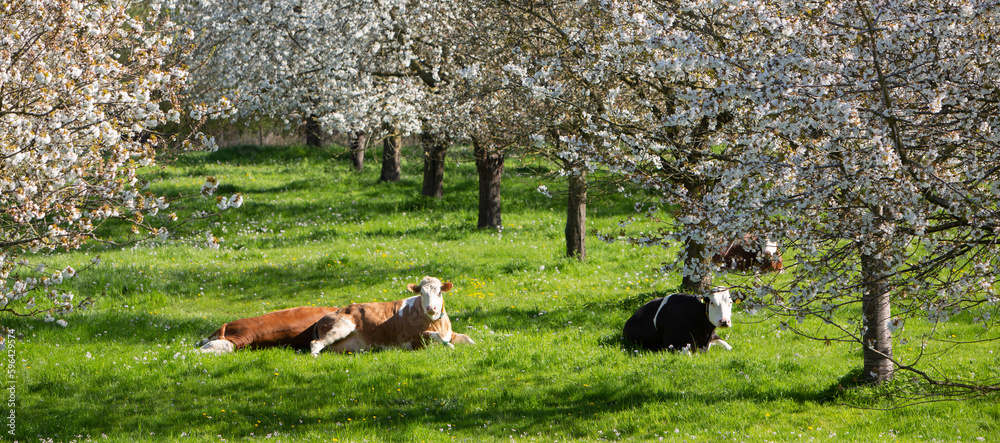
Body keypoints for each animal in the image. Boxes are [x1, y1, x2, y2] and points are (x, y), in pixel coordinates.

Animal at [306, 276, 474, 356]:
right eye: (421, 293)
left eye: (439, 292)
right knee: (315, 344)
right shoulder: (415, 340)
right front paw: (450, 346)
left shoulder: (450, 333)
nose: (430, 307)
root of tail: (323, 319)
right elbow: (438, 337)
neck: (436, 323)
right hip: (341, 326)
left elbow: (467, 338)